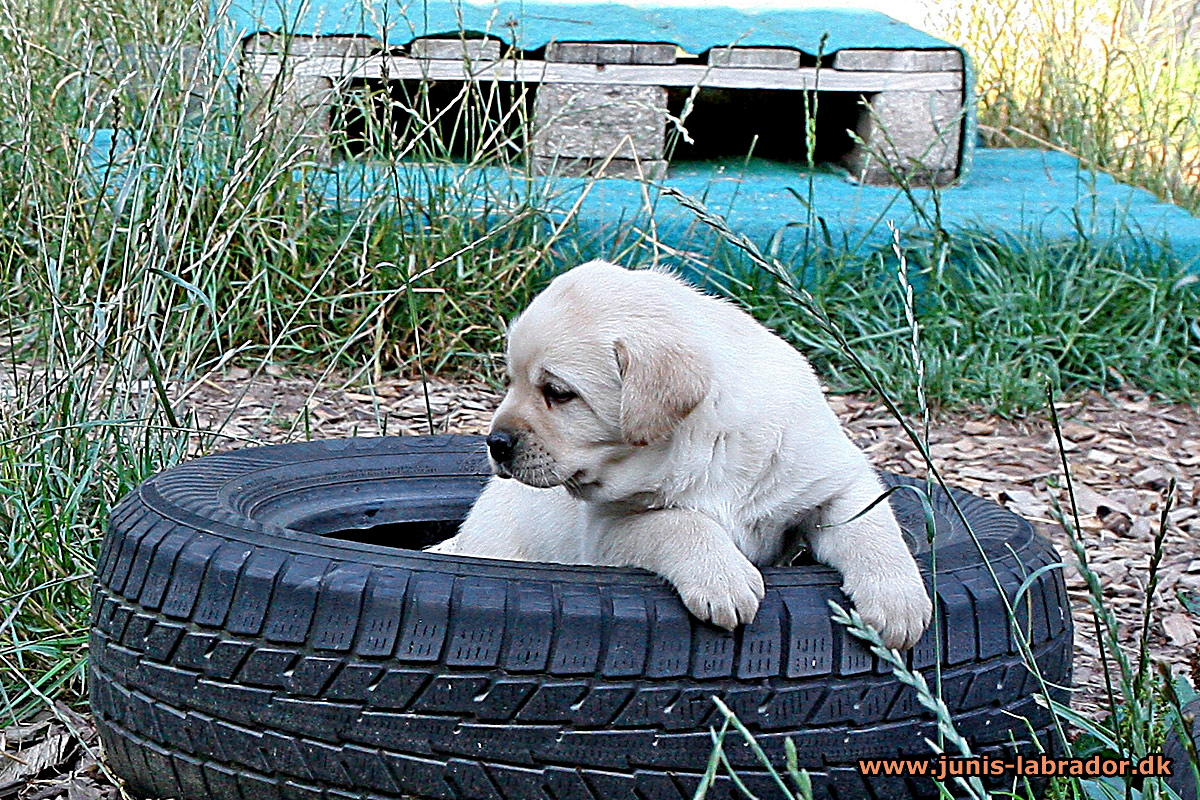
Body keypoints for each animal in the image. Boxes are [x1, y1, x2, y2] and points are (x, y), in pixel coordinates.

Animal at [434, 262, 936, 652]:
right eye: (511, 381)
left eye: (557, 392)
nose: (495, 442)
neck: (708, 444)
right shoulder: (608, 531)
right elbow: (681, 522)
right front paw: (723, 579)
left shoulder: (830, 481)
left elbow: (871, 527)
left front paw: (898, 600)